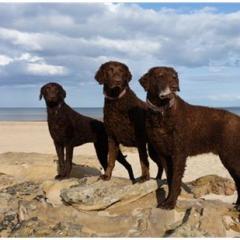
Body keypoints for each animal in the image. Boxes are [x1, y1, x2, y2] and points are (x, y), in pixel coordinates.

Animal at [140, 66, 240, 210]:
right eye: (160, 75)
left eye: (174, 76)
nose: (174, 87)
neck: (162, 112)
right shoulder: (164, 155)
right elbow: (170, 179)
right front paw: (167, 201)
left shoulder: (179, 154)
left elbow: (176, 180)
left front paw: (171, 203)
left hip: (231, 157)